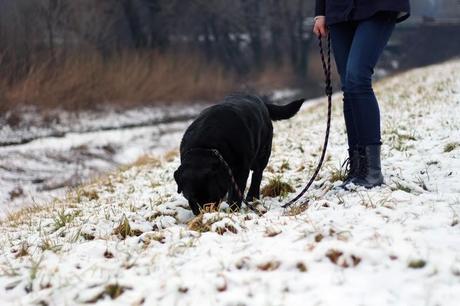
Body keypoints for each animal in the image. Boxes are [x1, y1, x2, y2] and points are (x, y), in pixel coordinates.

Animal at [174, 93, 304, 215]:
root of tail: (262, 102)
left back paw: (252, 197)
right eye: (191, 197)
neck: (206, 146)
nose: (203, 213)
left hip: (263, 152)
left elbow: (237, 193)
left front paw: (234, 210)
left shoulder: (242, 169)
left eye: (212, 195)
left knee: (257, 174)